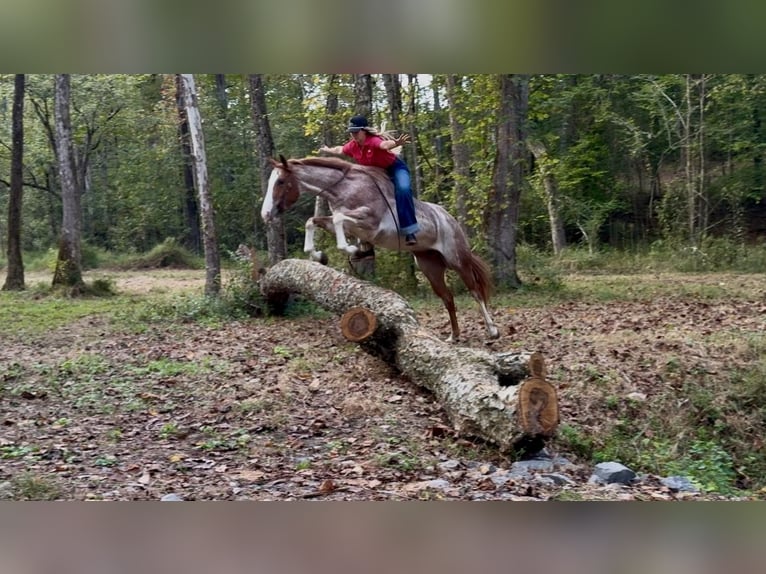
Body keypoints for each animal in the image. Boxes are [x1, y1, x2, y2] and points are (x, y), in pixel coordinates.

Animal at [260, 155, 500, 343]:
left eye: (280, 181)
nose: (266, 214)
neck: (343, 188)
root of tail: (450, 219)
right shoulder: (347, 222)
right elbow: (313, 221)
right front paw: (320, 254)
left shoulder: (370, 222)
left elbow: (338, 220)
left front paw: (352, 250)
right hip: (429, 265)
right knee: (447, 297)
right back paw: (454, 335)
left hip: (456, 260)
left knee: (475, 292)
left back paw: (492, 330)